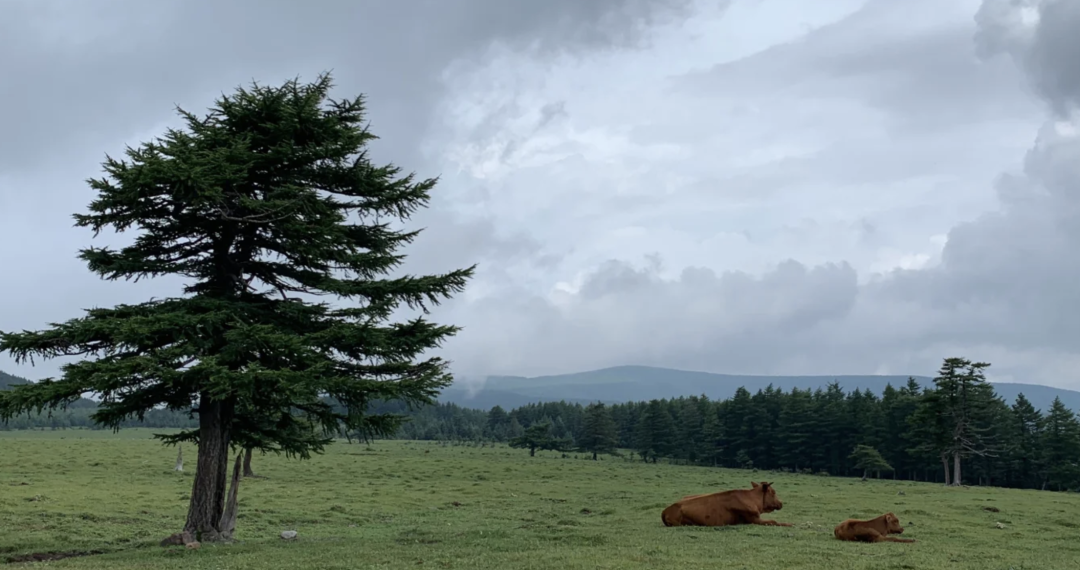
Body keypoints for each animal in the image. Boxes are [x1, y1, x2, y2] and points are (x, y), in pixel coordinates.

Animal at [656, 479, 794, 526]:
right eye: (773, 492)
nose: (781, 503)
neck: (752, 498)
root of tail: (665, 510)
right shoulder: (753, 519)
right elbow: (774, 522)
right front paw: (790, 524)